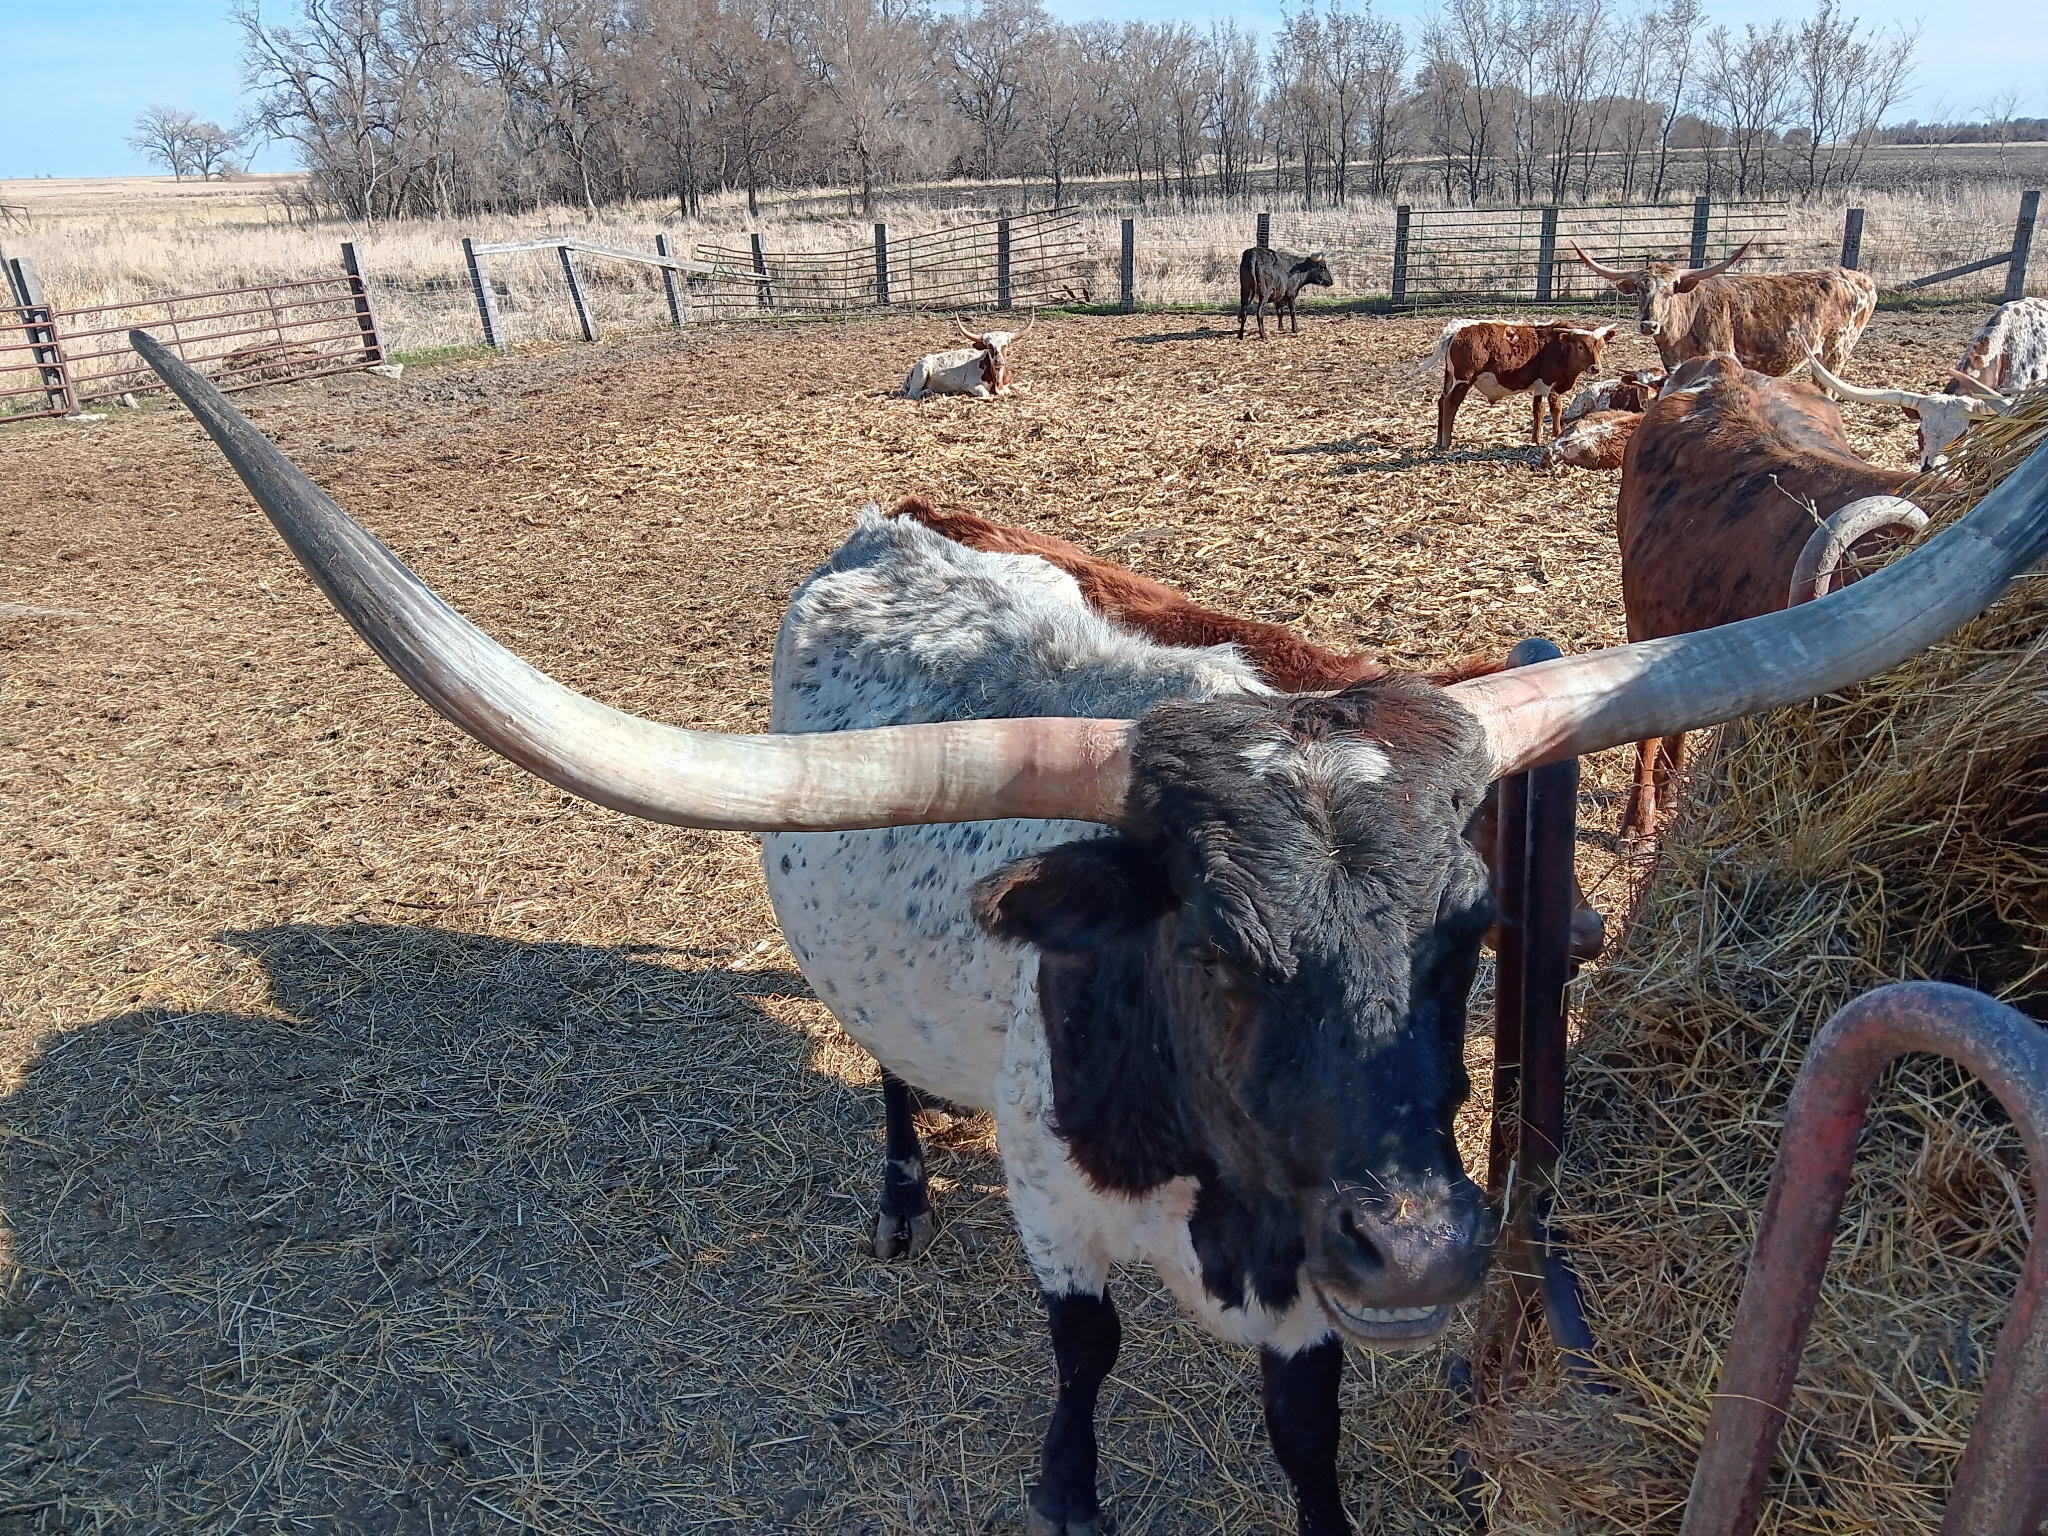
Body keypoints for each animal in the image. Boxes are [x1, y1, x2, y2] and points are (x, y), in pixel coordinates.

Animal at [902, 315, 1034, 399]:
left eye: (1006, 345)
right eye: (989, 346)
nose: (998, 360)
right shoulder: (971, 384)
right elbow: (985, 394)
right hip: (922, 371)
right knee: (912, 393)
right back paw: (927, 393)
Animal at [1414, 319, 1617, 451]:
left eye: (1600, 346)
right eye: (1581, 346)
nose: (1595, 368)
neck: (1557, 347)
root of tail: (1457, 329)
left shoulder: (1553, 385)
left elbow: (1556, 408)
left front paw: (1557, 433)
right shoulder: (1543, 384)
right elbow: (1539, 410)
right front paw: (1536, 439)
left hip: (1449, 377)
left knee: (1441, 401)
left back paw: (1439, 440)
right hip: (1462, 380)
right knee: (1450, 403)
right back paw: (1446, 443)